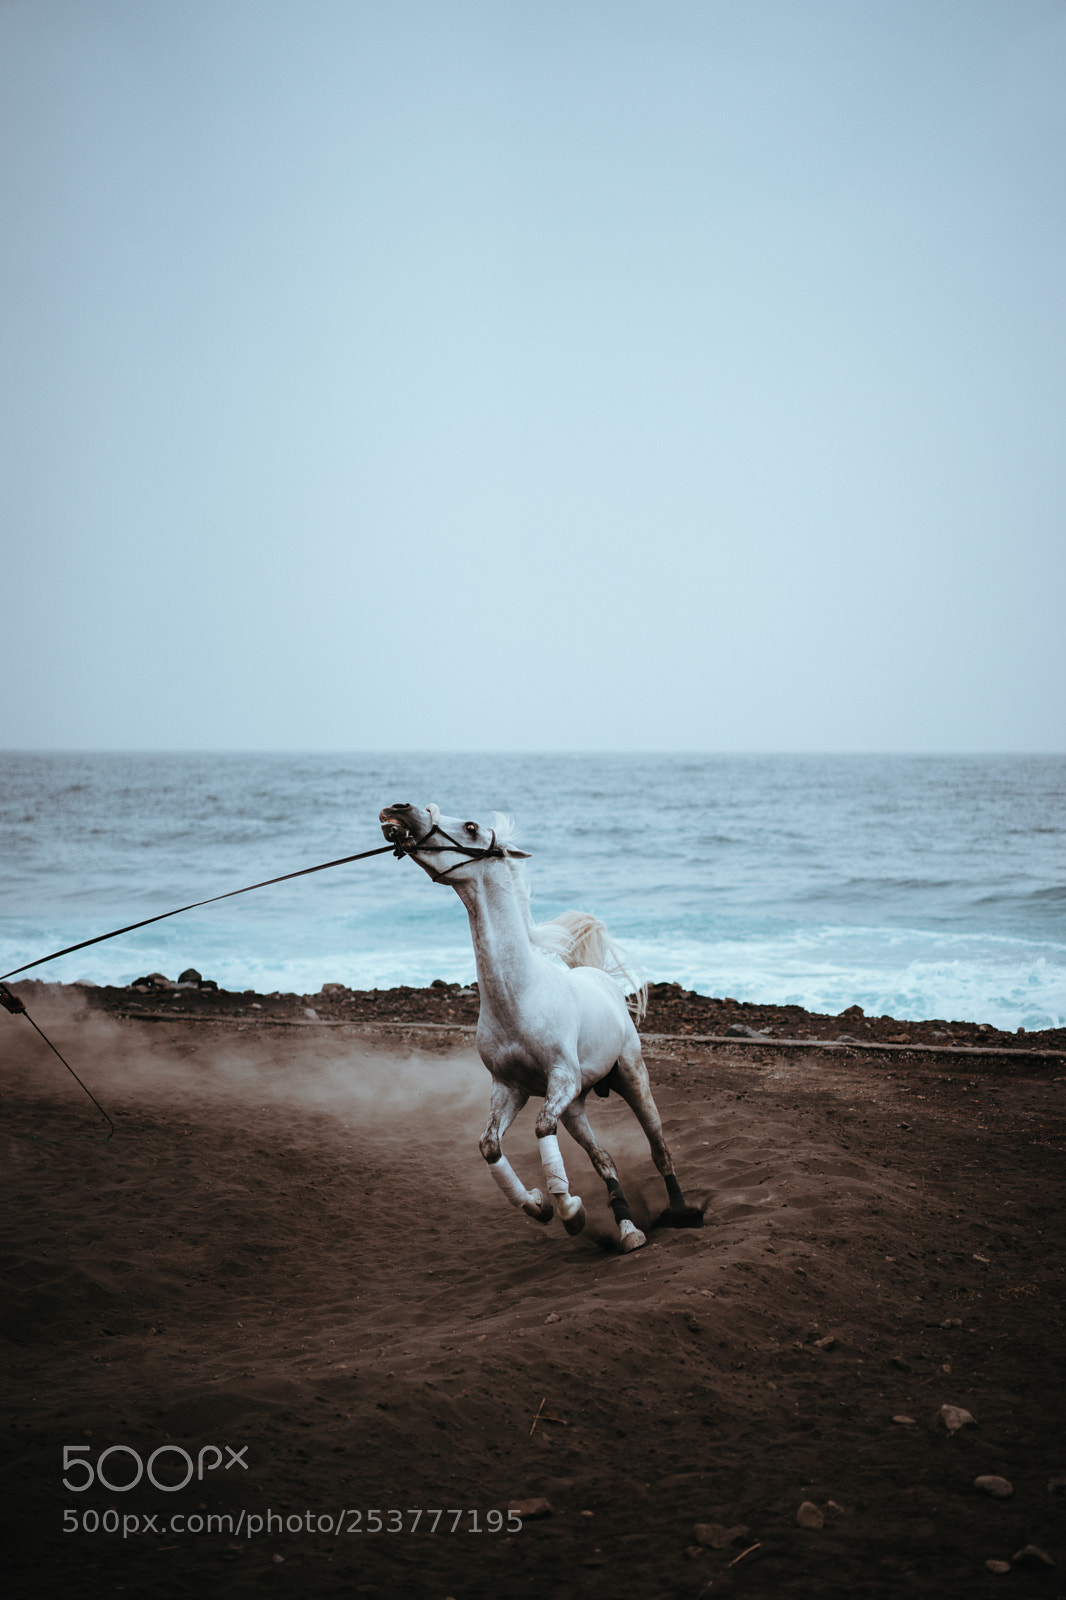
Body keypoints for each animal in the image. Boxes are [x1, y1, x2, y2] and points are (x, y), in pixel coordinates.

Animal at [379, 801, 704, 1252]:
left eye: (471, 826)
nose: (398, 811)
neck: (520, 995)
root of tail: (597, 977)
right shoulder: (511, 1088)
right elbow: (490, 1146)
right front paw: (540, 1205)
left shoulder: (561, 1079)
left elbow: (540, 1128)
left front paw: (570, 1211)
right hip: (578, 1106)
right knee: (604, 1159)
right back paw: (628, 1229)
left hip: (631, 1077)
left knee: (660, 1149)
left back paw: (679, 1212)